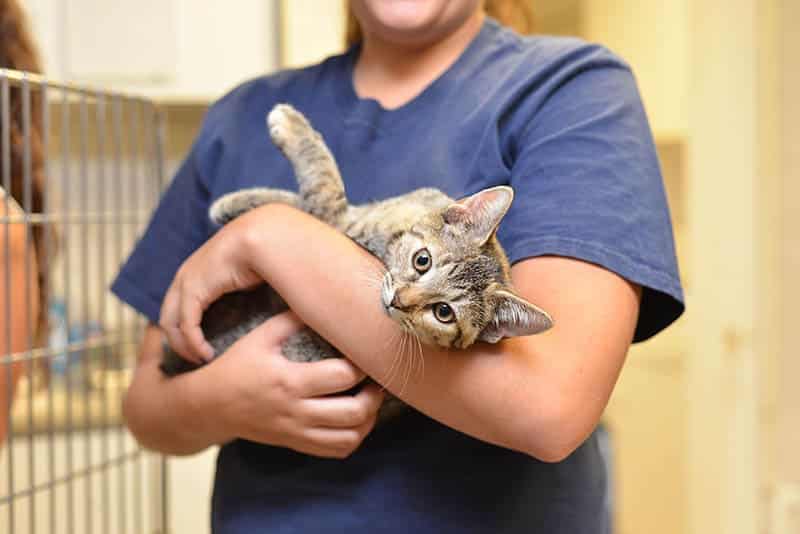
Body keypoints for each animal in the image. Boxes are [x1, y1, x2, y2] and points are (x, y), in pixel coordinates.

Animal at [159, 105, 552, 418]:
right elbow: (299, 200)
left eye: (444, 313)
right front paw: (241, 202)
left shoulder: (335, 218)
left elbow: (322, 188)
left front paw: (290, 130)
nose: (400, 301)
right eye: (422, 260)